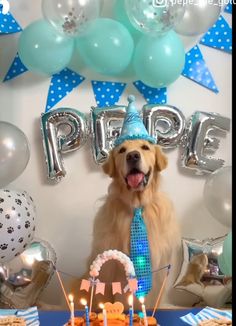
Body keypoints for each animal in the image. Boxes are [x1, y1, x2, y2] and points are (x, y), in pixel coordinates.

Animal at [73, 139, 180, 310]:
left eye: (145, 147)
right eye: (122, 150)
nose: (133, 156)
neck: (137, 204)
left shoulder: (159, 276)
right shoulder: (108, 272)